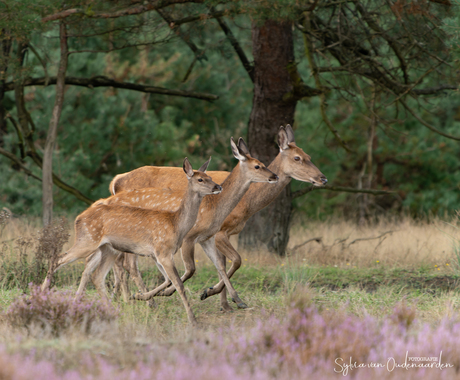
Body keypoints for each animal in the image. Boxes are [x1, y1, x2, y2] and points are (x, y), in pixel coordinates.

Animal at [41, 157, 223, 326]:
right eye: (200, 179)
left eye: (209, 176)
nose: (218, 187)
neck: (176, 224)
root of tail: (78, 218)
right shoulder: (162, 251)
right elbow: (179, 284)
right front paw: (193, 320)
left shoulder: (158, 254)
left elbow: (169, 281)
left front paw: (142, 297)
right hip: (88, 240)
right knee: (59, 259)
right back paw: (43, 294)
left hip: (108, 248)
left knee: (96, 275)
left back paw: (110, 309)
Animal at [77, 135, 278, 308]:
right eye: (258, 166)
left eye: (263, 163)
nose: (274, 176)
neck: (215, 208)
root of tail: (109, 193)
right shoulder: (190, 237)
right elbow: (191, 269)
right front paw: (165, 293)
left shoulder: (207, 238)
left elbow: (220, 265)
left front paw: (235, 299)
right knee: (125, 265)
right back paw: (141, 300)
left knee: (98, 261)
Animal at [107, 126, 328, 310]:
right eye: (297, 158)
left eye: (309, 155)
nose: (323, 178)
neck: (248, 204)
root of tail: (115, 180)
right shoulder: (220, 231)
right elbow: (235, 260)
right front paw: (215, 295)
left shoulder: (216, 235)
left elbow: (222, 264)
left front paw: (223, 300)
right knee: (128, 264)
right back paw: (145, 300)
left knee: (119, 261)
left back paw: (122, 297)